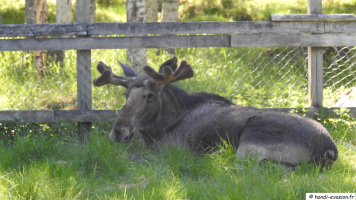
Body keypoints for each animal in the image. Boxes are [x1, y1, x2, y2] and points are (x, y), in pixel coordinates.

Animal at [93, 57, 338, 168]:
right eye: (125, 95)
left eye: (150, 96)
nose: (118, 131)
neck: (161, 127)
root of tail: (330, 149)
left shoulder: (168, 151)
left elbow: (129, 156)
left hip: (249, 146)